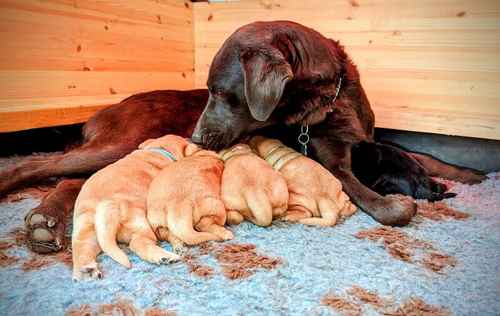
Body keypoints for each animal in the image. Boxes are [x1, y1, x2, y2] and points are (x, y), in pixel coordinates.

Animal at [71, 135, 194, 280]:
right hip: (138, 222)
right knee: (138, 243)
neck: (159, 149)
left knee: (82, 247)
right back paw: (164, 257)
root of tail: (105, 207)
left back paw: (86, 270)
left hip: (86, 226)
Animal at [191, 20, 484, 227]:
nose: (195, 138)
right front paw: (399, 206)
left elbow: (427, 158)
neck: (328, 100)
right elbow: (379, 205)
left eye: (219, 91)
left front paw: (471, 174)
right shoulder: (334, 164)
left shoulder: (370, 138)